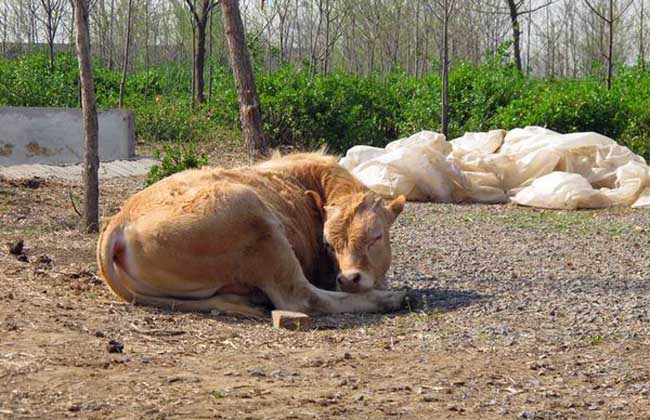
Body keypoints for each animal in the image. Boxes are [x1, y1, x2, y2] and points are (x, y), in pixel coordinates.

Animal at [95, 153, 404, 316]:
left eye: (376, 236)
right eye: (328, 243)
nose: (349, 279)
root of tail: (120, 219)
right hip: (259, 224)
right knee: (302, 298)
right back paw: (391, 299)